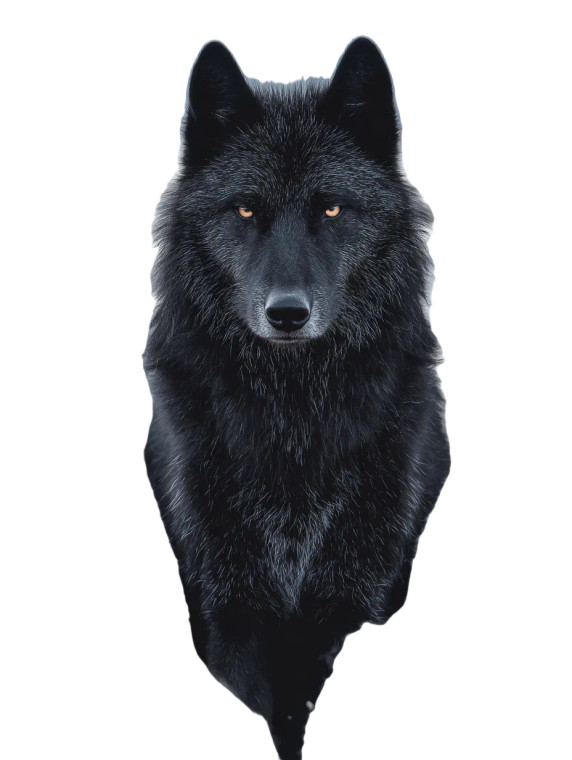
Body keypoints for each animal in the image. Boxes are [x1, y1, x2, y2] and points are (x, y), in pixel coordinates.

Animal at [144, 36, 450, 759]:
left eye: (331, 208)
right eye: (246, 210)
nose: (287, 313)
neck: (293, 421)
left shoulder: (364, 589)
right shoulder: (223, 596)